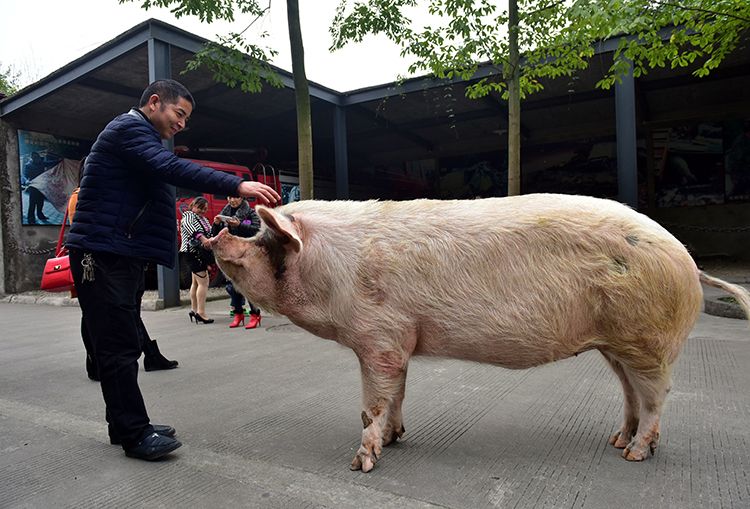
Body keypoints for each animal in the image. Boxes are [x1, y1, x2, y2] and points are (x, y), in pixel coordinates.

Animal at [212, 192, 750, 470]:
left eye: (261, 237)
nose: (214, 232)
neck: (332, 267)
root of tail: (688, 260)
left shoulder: (379, 336)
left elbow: (373, 403)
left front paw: (361, 461)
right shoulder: (400, 340)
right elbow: (398, 392)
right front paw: (398, 439)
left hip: (646, 338)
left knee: (658, 395)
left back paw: (635, 455)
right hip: (617, 345)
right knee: (632, 393)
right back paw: (618, 441)